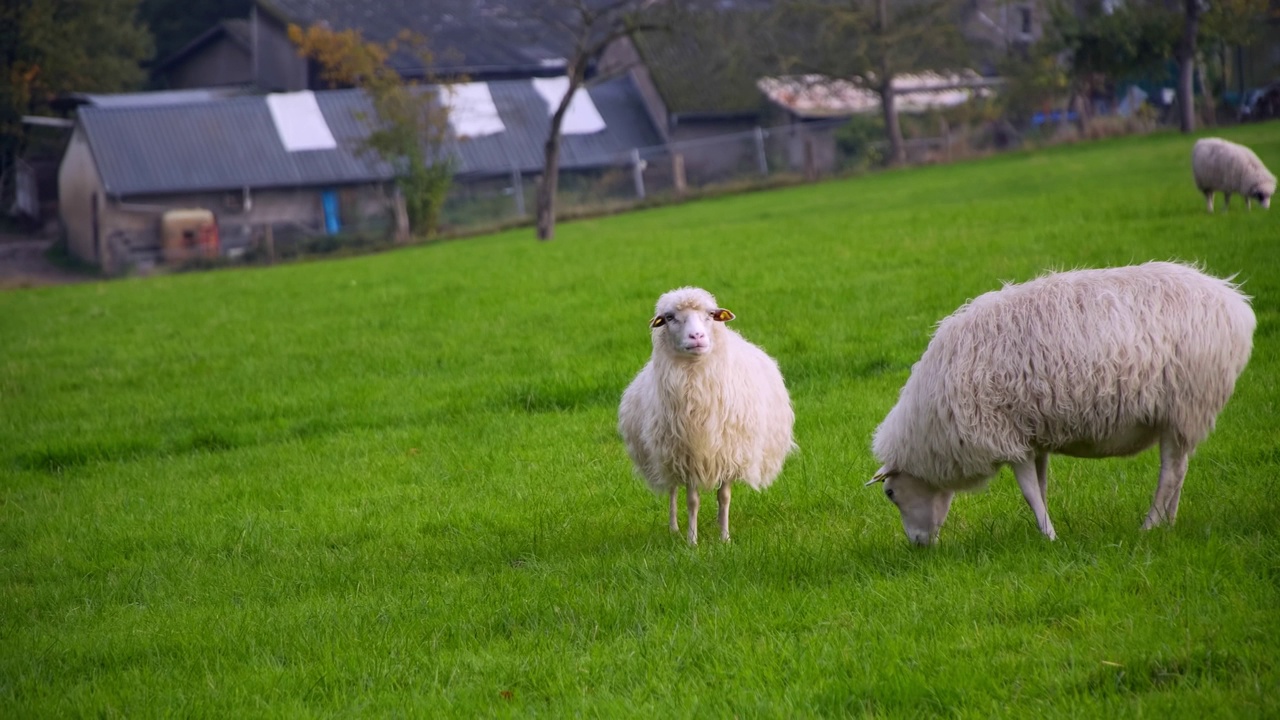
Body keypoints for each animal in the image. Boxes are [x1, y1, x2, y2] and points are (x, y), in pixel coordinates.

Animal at [616, 283, 793, 540]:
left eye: (710, 314)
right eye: (669, 317)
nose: (697, 336)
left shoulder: (729, 453)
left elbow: (724, 497)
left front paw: (724, 537)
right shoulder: (688, 455)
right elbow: (692, 501)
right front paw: (692, 540)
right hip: (666, 454)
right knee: (672, 490)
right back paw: (673, 528)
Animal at [865, 262, 1254, 543]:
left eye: (890, 493)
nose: (917, 546)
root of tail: (1234, 303)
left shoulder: (1007, 436)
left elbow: (1028, 492)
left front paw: (1049, 536)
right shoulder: (1033, 437)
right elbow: (1041, 486)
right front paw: (1046, 529)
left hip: (1186, 403)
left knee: (1170, 472)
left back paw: (1149, 525)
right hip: (1182, 414)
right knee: (1179, 469)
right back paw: (1168, 524)